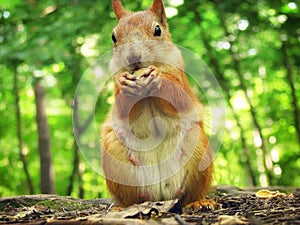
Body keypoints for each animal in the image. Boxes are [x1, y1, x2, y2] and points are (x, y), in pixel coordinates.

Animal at [101, 0, 213, 207]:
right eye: (113, 36)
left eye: (157, 30)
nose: (133, 57)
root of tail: (162, 195)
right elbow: (123, 109)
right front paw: (125, 84)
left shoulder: (180, 77)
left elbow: (179, 97)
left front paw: (158, 78)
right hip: (116, 160)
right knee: (130, 199)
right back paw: (121, 208)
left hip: (198, 150)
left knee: (191, 195)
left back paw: (198, 202)